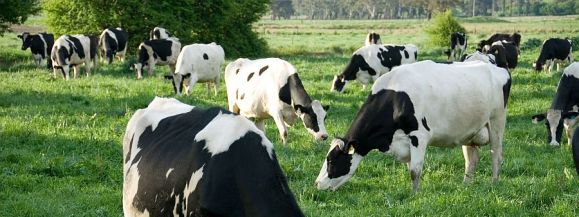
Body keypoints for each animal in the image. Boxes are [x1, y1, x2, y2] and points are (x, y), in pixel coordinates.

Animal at [314, 60, 510, 192]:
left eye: (331, 160)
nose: (317, 183)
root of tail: (498, 68)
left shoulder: (419, 135)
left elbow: (415, 170)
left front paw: (414, 195)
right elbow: (411, 169)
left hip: (497, 121)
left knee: (496, 155)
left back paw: (494, 183)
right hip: (469, 131)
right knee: (472, 160)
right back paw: (465, 186)